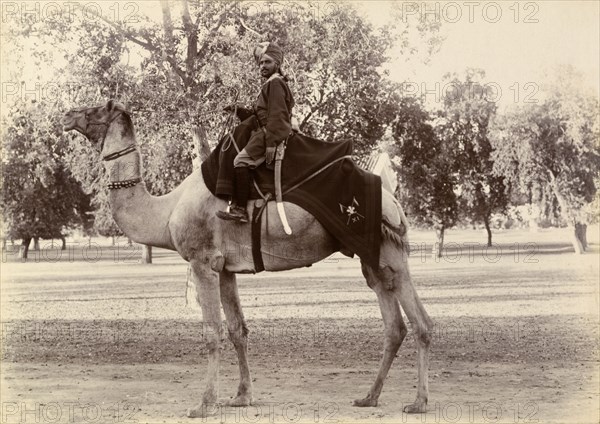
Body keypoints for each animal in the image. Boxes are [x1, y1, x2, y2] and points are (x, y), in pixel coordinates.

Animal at [62, 99, 432, 418]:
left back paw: (418, 402)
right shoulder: (226, 269)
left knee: (421, 322)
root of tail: (393, 201)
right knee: (394, 324)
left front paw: (204, 404)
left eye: (96, 109)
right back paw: (369, 397)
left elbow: (211, 332)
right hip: (370, 257)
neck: (165, 210)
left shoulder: (201, 261)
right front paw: (241, 397)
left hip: (389, 252)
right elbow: (238, 329)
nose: (66, 115)